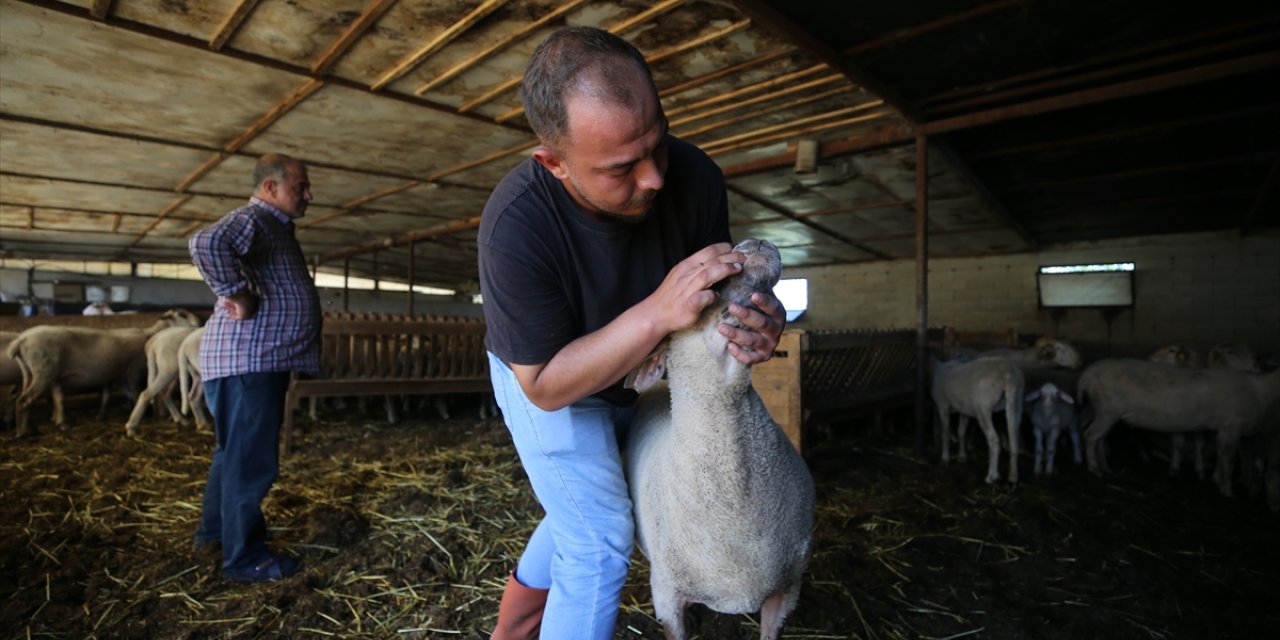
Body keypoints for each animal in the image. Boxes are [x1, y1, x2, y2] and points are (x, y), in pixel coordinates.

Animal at [8, 308, 199, 435]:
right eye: (183, 315)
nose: (199, 324)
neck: (149, 334)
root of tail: (20, 341)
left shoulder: (113, 375)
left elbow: (107, 396)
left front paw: (103, 415)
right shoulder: (130, 373)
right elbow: (135, 393)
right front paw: (137, 418)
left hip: (35, 374)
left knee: (38, 398)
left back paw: (44, 424)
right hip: (43, 373)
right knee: (24, 401)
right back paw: (23, 432)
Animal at [926, 355, 1024, 483]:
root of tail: (1008, 374)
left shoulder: (943, 405)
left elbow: (945, 433)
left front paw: (945, 459)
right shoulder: (963, 409)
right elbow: (961, 432)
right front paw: (962, 456)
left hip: (983, 406)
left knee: (993, 440)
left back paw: (992, 476)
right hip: (1017, 401)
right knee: (1014, 437)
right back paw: (1013, 476)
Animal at [1080, 360, 1280, 499]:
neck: (1263, 392)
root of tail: (1087, 375)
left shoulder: (1223, 430)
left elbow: (1222, 457)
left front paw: (1216, 479)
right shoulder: (1231, 428)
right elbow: (1228, 461)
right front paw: (1228, 491)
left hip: (1103, 410)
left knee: (1100, 438)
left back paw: (1106, 468)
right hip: (1108, 409)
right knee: (1091, 435)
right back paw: (1094, 469)